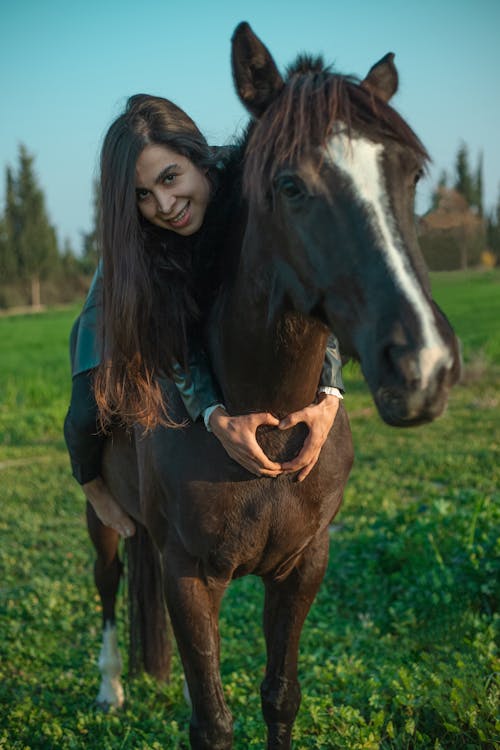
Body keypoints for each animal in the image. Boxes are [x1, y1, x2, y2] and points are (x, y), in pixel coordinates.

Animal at [84, 20, 458, 748]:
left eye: (410, 173)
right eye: (290, 184)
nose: (423, 366)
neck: (271, 418)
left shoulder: (302, 567)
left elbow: (280, 697)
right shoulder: (189, 577)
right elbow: (213, 722)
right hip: (100, 517)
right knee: (109, 583)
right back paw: (111, 685)